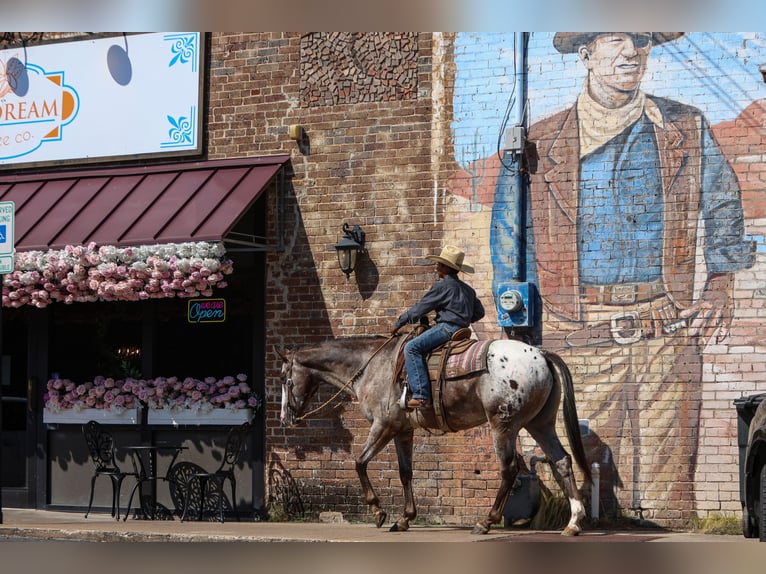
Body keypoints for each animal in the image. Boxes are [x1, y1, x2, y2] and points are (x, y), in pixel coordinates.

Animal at [280, 336, 592, 536]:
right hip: (540, 423)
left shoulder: (383, 425)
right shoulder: (402, 431)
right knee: (562, 461)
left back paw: (486, 522)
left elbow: (360, 463)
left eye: (284, 378)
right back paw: (574, 522)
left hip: (503, 424)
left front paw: (379, 512)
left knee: (510, 468)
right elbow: (405, 472)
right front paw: (404, 519)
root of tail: (541, 354)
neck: (371, 367)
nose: (285, 418)